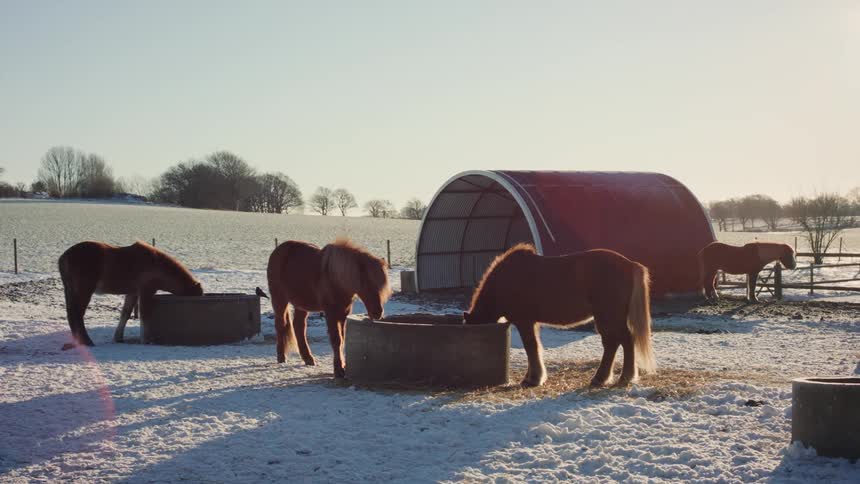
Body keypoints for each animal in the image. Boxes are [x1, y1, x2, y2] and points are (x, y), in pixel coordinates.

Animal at [58, 241, 203, 348]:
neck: (156, 264)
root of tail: (65, 256)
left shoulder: (132, 293)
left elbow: (125, 314)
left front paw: (118, 338)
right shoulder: (146, 291)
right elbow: (144, 315)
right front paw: (145, 340)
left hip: (70, 290)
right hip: (84, 291)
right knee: (77, 315)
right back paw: (87, 342)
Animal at [266, 239, 391, 378]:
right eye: (366, 283)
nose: (377, 313)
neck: (335, 279)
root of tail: (279, 250)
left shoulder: (343, 313)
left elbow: (342, 340)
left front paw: (343, 366)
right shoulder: (331, 313)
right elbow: (337, 340)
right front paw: (339, 370)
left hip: (301, 304)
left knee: (299, 327)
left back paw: (308, 358)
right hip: (279, 299)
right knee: (281, 325)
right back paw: (282, 357)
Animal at [463, 243, 655, 388]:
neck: (506, 280)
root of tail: (630, 264)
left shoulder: (524, 322)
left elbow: (530, 347)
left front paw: (533, 379)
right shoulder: (532, 323)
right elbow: (534, 347)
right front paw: (531, 377)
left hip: (608, 316)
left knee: (621, 341)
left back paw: (618, 377)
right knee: (615, 343)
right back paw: (606, 378)